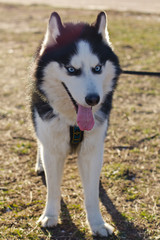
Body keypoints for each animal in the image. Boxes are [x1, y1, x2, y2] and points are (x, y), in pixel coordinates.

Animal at [30, 10, 120, 236]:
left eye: (97, 68)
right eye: (71, 69)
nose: (93, 99)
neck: (73, 122)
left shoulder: (92, 150)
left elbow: (91, 194)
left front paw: (97, 224)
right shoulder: (52, 147)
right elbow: (53, 188)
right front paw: (50, 216)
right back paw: (39, 164)